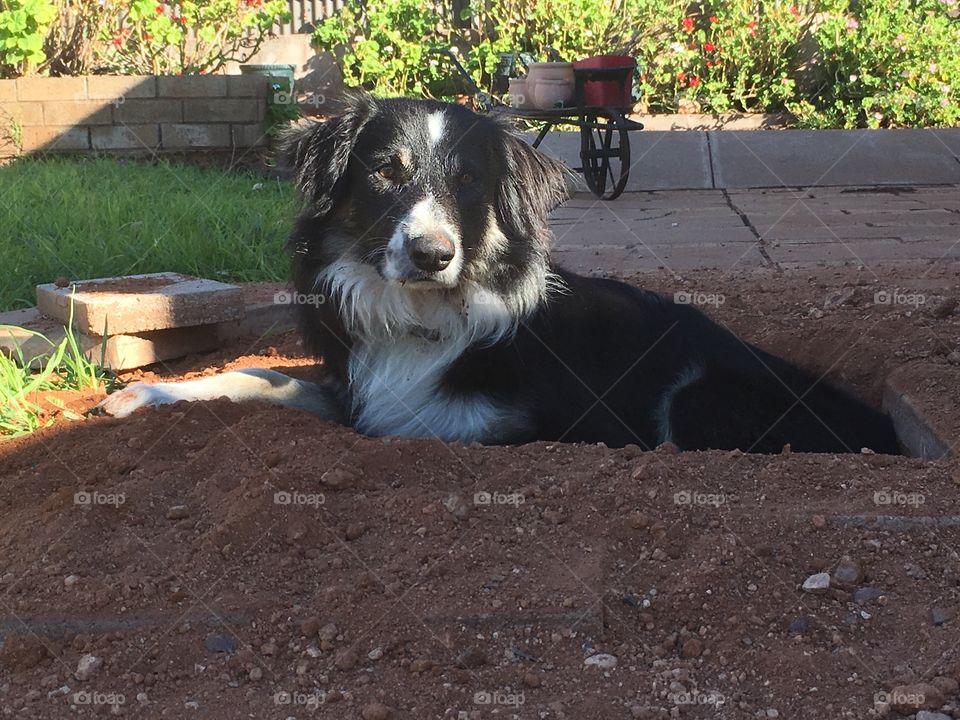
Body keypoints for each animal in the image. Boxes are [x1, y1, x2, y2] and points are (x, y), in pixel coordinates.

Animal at [101, 94, 904, 456]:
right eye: (384, 171)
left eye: (469, 183)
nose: (432, 254)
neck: (424, 320)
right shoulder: (357, 388)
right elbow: (261, 374)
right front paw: (146, 394)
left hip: (701, 396)